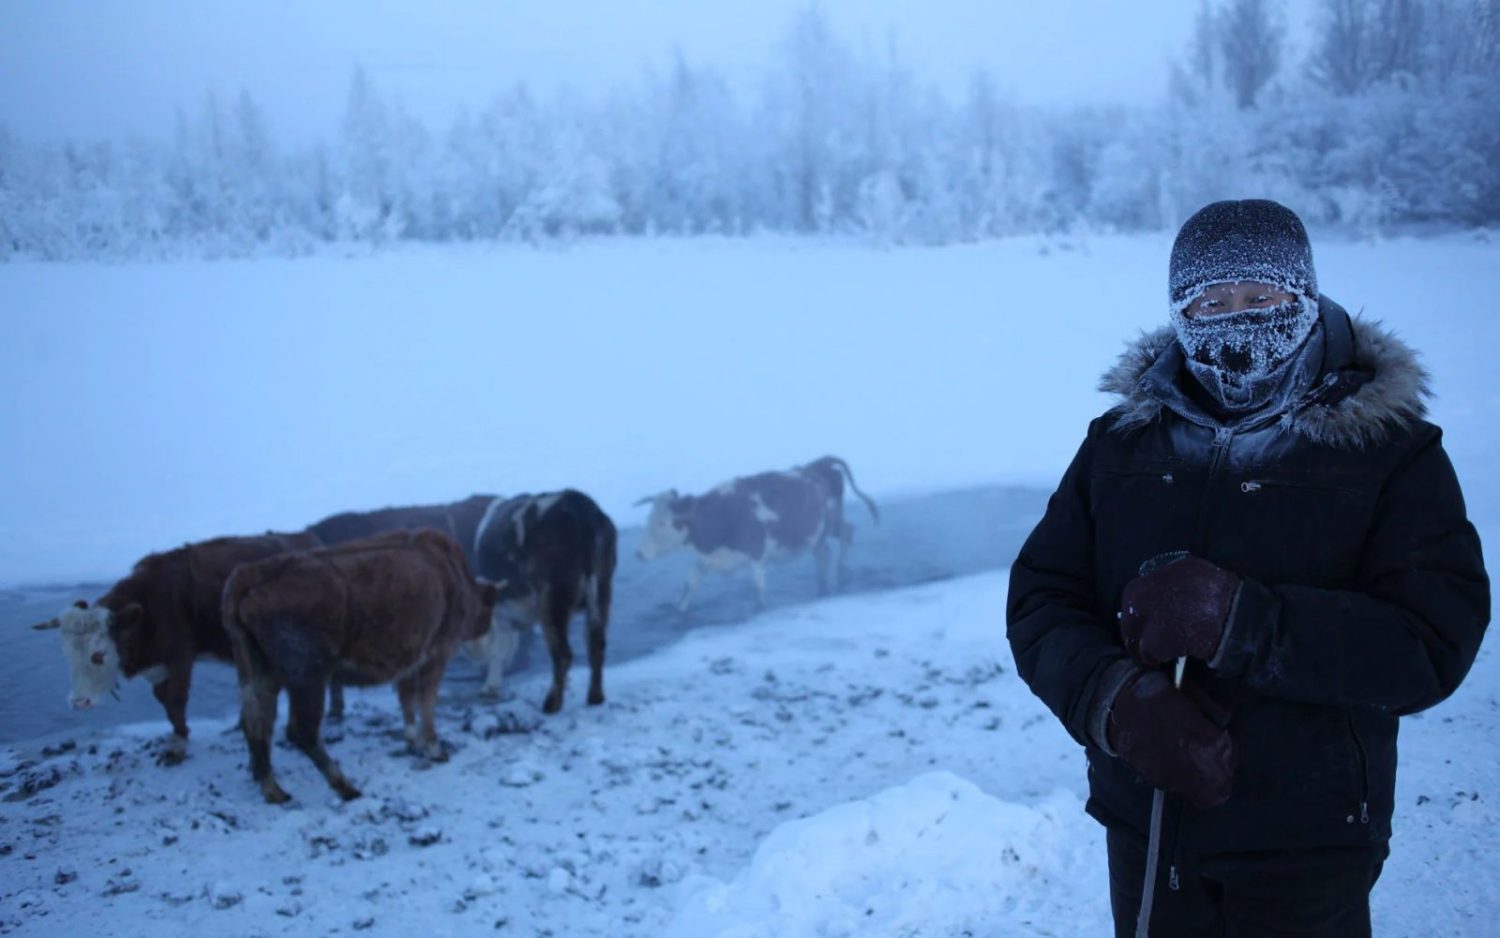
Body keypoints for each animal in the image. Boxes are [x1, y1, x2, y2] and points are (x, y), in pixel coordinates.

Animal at [31, 531, 322, 765]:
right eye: (67, 654)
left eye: (99, 655)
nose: (79, 702)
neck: (148, 610)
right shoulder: (157, 666)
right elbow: (163, 700)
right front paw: (177, 733)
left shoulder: (180, 658)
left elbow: (176, 700)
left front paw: (178, 744)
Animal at [222, 528, 501, 804]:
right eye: (489, 606)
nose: (486, 626)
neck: (452, 572)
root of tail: (249, 575)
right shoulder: (436, 656)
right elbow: (426, 704)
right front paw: (435, 749)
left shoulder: (410, 663)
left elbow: (407, 699)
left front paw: (412, 741)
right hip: (307, 678)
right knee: (301, 731)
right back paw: (345, 786)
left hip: (259, 674)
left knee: (257, 722)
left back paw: (273, 789)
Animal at [465, 489, 612, 708]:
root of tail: (576, 501)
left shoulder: (500, 610)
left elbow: (499, 646)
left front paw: (491, 685)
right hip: (601, 591)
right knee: (596, 644)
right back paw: (595, 697)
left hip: (552, 598)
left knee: (563, 653)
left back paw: (551, 703)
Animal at [633, 456, 876, 615]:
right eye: (649, 519)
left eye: (662, 523)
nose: (639, 553)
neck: (718, 515)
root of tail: (819, 464)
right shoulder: (707, 559)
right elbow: (689, 585)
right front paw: (679, 609)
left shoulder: (756, 553)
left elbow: (758, 586)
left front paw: (760, 608)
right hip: (816, 534)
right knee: (825, 552)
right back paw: (823, 583)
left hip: (832, 520)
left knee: (847, 534)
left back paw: (841, 572)